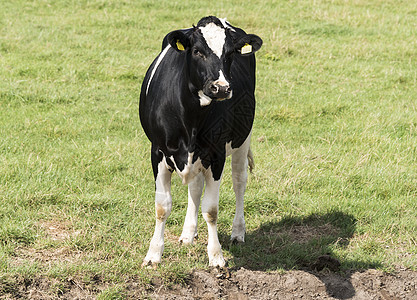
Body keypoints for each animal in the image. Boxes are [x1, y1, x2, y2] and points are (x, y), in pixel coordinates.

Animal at [141, 15, 264, 268]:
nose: (221, 88)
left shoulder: (216, 155)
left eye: (231, 53)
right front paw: (153, 254)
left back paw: (238, 231)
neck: (191, 118)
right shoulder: (157, 151)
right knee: (196, 188)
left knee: (239, 181)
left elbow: (211, 209)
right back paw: (188, 233)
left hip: (242, 139)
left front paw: (216, 256)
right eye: (197, 51)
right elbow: (162, 206)